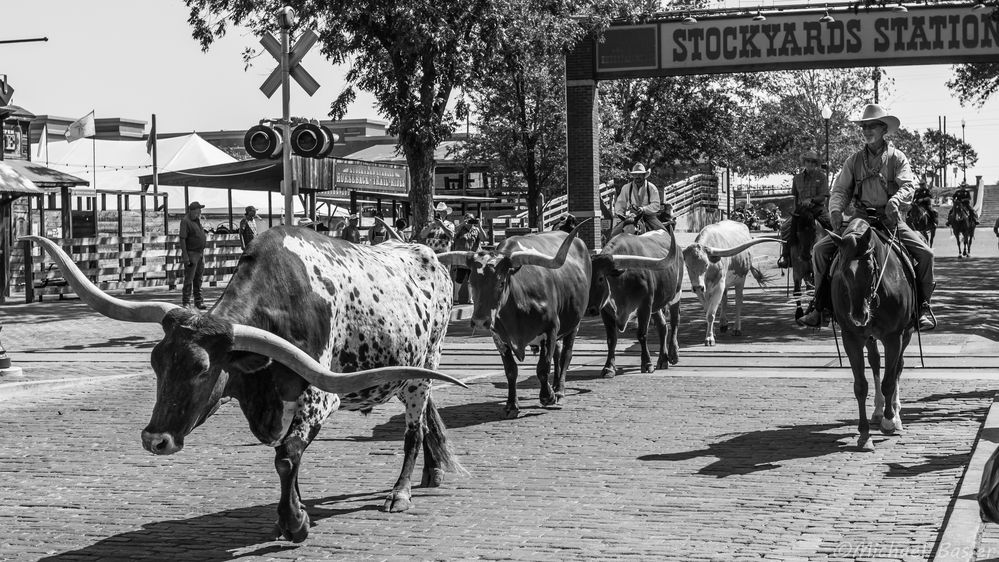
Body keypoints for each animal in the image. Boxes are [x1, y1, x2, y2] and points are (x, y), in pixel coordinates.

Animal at [824, 215, 916, 450]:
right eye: (844, 271)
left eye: (870, 268)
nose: (859, 315)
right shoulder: (851, 337)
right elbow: (860, 386)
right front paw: (864, 435)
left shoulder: (894, 336)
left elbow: (889, 380)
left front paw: (889, 421)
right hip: (870, 337)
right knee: (875, 362)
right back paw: (877, 411)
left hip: (906, 333)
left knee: (898, 367)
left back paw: (895, 415)